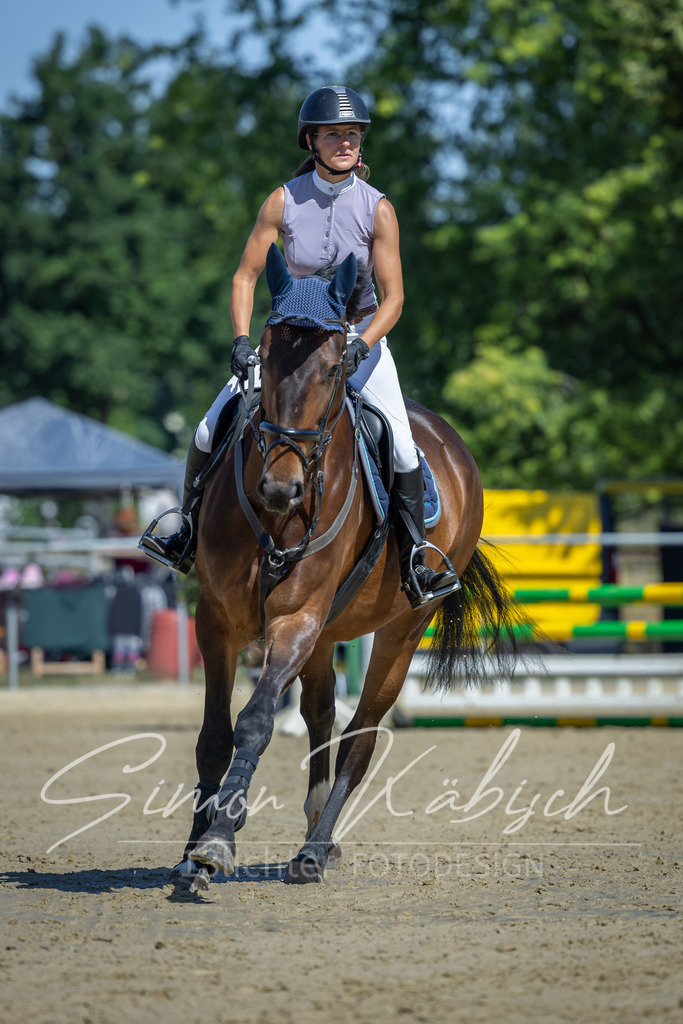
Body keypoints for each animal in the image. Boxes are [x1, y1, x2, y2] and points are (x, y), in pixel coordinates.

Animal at [174, 243, 518, 888]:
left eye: (334, 368)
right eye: (264, 357)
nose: (280, 488)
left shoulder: (296, 620)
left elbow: (256, 721)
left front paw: (219, 840)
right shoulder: (219, 621)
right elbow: (215, 736)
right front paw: (190, 856)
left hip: (401, 628)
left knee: (361, 734)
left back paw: (314, 849)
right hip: (329, 631)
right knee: (320, 714)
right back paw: (315, 832)